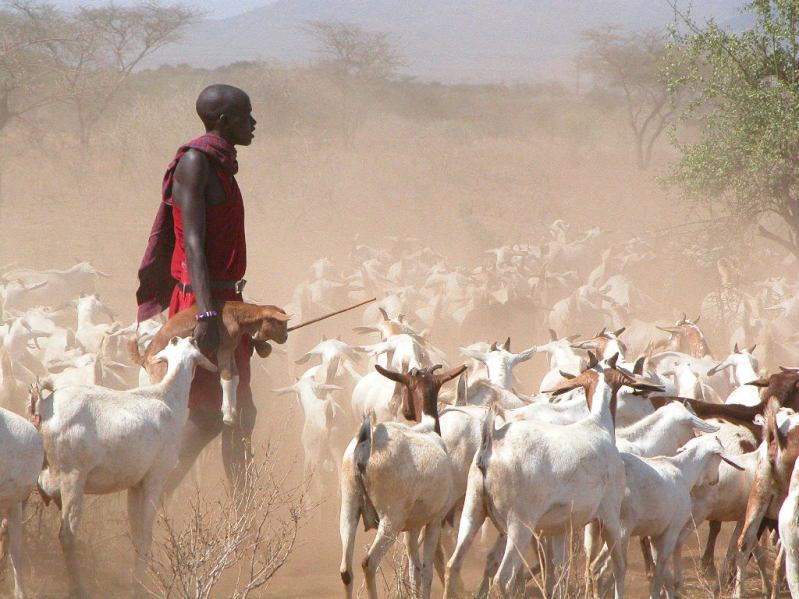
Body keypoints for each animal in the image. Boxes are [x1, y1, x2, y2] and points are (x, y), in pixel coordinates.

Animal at [130, 302, 292, 424]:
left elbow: (235, 377)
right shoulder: (223, 350)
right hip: (160, 375)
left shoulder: (230, 350)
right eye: (280, 322)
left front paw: (232, 410)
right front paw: (228, 415)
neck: (234, 313)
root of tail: (144, 357)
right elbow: (226, 377)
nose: (286, 337)